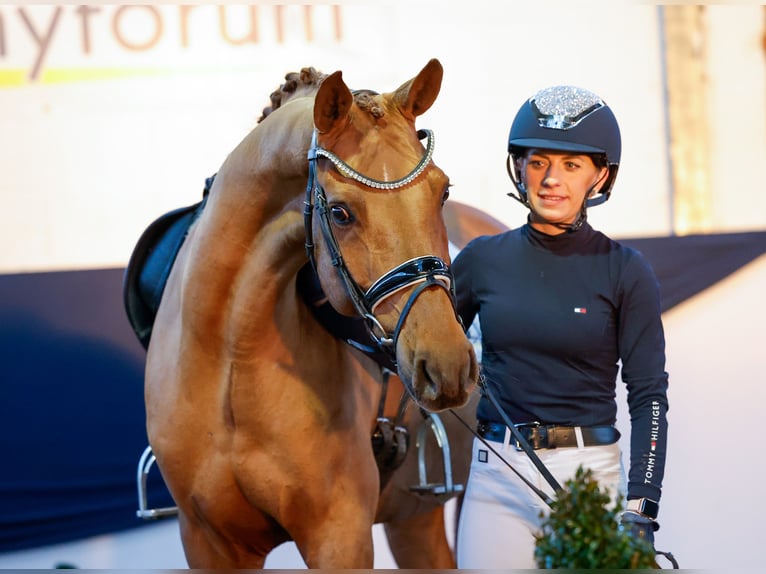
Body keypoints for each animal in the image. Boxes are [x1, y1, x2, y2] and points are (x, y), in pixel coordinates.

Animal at [143, 60, 480, 568]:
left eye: (442, 192)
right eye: (339, 212)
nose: (448, 365)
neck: (231, 361)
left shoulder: (339, 538)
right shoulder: (207, 542)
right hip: (412, 520)